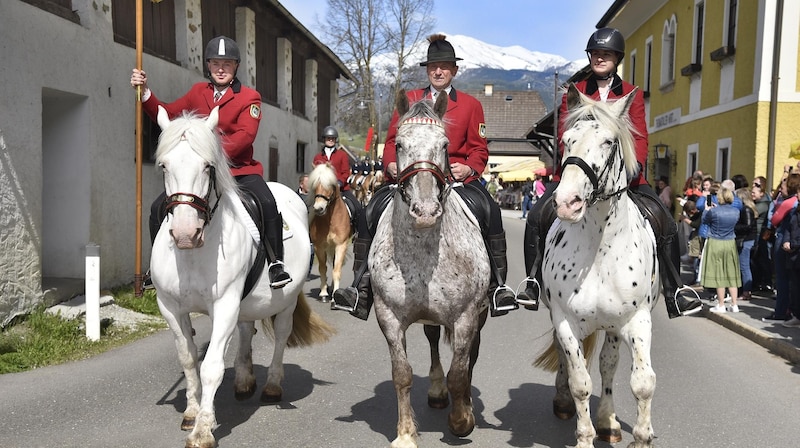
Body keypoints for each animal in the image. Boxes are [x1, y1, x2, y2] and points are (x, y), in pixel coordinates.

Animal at [151, 106, 334, 448]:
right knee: (247, 330)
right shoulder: (170, 307)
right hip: (246, 303)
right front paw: (193, 412)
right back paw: (245, 380)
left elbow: (210, 366)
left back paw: (272, 386)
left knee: (282, 335)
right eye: (164, 165)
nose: (185, 234)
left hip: (285, 301)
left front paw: (203, 431)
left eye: (208, 166)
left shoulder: (224, 305)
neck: (194, 253)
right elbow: (188, 359)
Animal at [306, 163, 354, 300]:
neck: (330, 220)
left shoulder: (341, 245)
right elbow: (323, 268)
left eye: (329, 185)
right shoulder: (319, 247)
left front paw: (336, 295)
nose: (318, 208)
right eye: (315, 186)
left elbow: (336, 270)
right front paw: (323, 293)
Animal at [368, 92, 488, 448]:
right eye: (398, 144)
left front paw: (462, 420)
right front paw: (406, 433)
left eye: (445, 145)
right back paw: (436, 391)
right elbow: (402, 374)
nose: (425, 211)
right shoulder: (389, 316)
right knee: (434, 340)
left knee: (470, 357)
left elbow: (460, 373)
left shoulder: (465, 316)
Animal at [536, 85, 660, 448]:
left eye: (608, 141)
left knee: (608, 365)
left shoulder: (637, 320)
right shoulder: (565, 320)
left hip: (614, 327)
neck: (600, 250)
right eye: (566, 140)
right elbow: (580, 383)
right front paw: (583, 436)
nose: (567, 202)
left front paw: (642, 436)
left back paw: (608, 421)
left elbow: (642, 382)